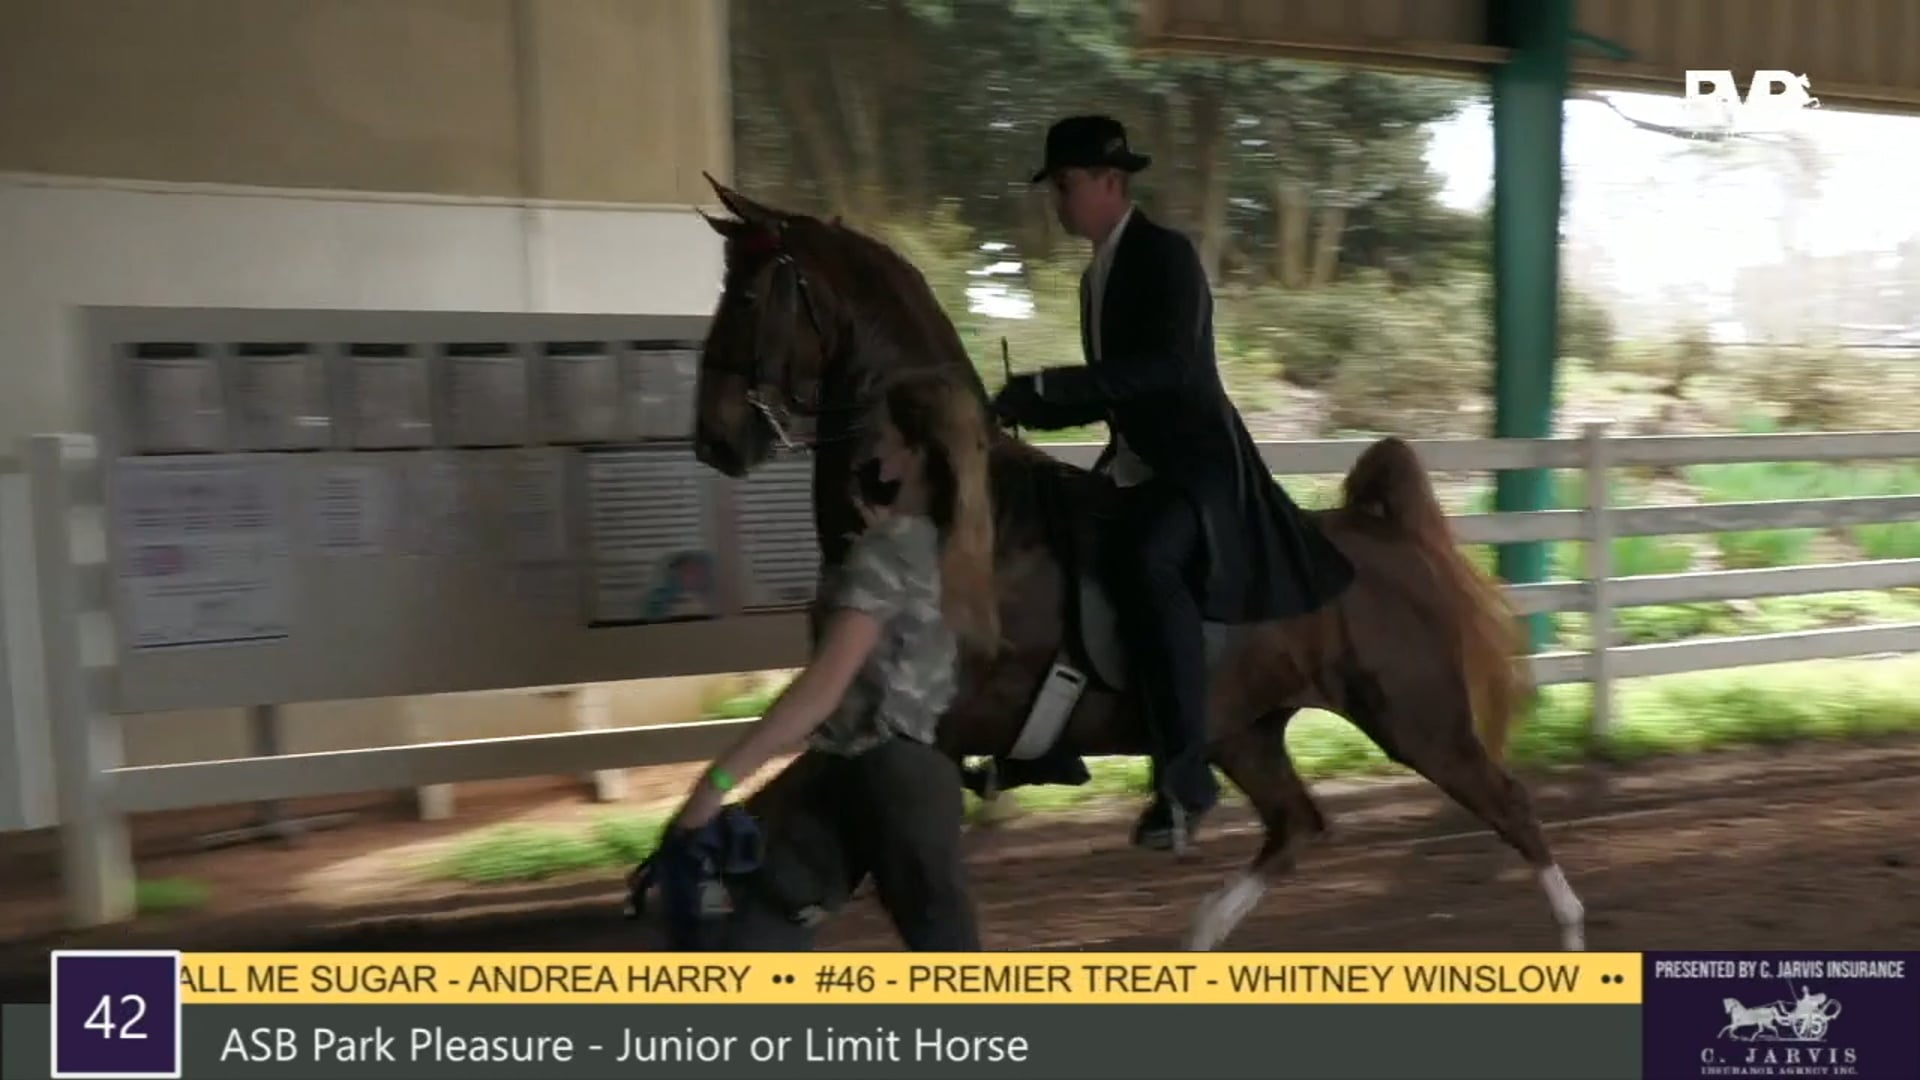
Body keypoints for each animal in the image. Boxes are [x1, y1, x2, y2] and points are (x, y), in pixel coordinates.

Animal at [683, 174, 1587, 953]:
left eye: (750, 295)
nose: (713, 439)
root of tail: (1377, 532)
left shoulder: (922, 723)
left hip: (1416, 720)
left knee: (1507, 805)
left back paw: (1572, 934)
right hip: (1245, 733)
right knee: (1297, 824)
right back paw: (1197, 933)